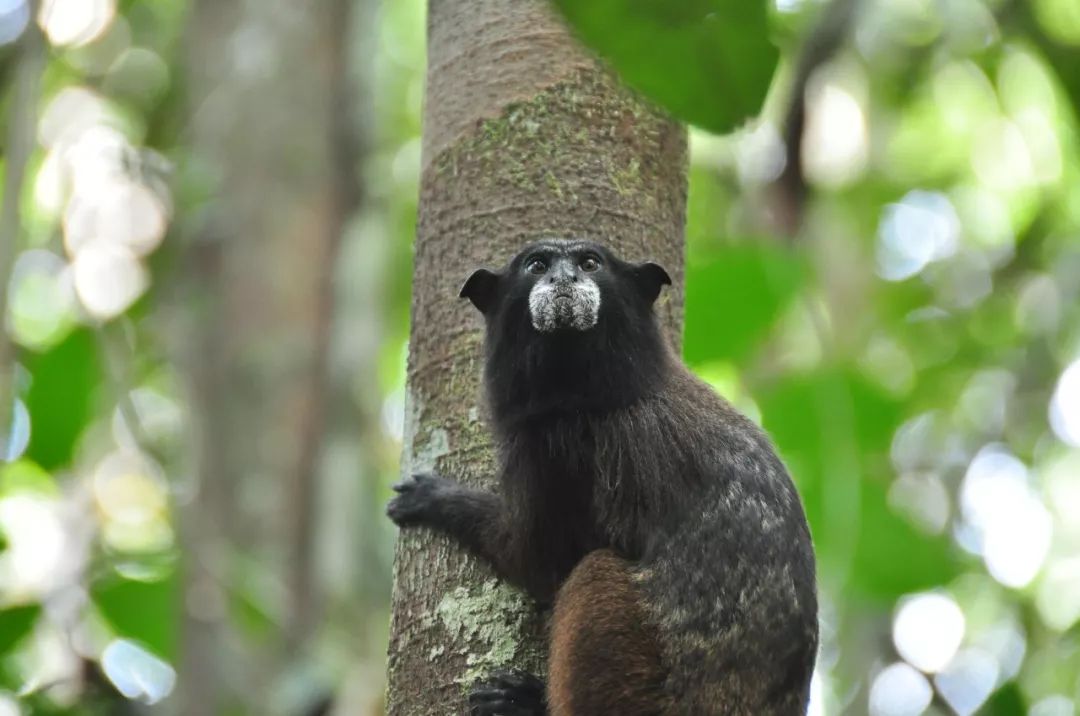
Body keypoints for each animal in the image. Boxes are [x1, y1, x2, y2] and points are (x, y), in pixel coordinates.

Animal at [388, 240, 816, 716]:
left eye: (589, 263)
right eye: (537, 264)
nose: (564, 278)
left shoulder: (552, 446)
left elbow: (534, 557)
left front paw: (439, 499)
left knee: (595, 571)